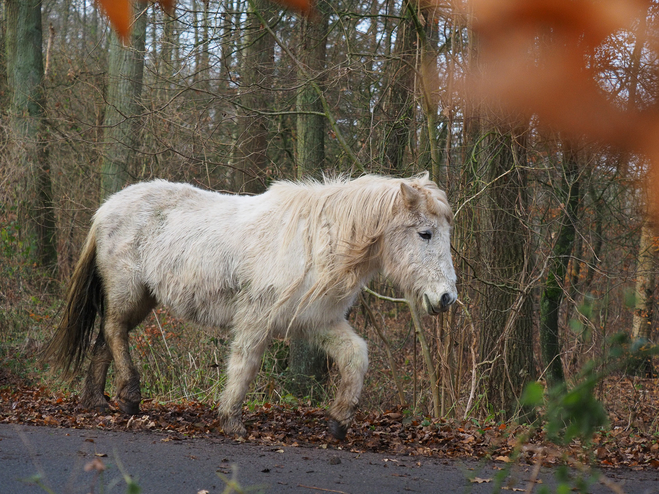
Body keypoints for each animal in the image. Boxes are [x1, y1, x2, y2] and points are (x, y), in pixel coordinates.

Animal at [43, 174, 458, 440]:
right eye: (425, 233)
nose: (446, 298)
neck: (316, 241)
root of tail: (106, 208)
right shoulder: (257, 318)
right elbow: (245, 366)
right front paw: (231, 421)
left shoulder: (318, 322)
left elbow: (356, 356)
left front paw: (339, 422)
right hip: (128, 291)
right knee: (113, 331)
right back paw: (129, 396)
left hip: (141, 297)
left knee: (106, 337)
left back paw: (97, 401)